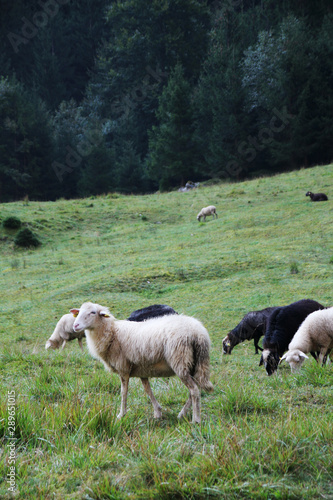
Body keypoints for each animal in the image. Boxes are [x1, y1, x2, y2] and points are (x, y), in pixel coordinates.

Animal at [71, 300, 214, 422]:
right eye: (79, 312)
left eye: (93, 312)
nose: (75, 325)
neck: (112, 333)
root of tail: (198, 334)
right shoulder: (142, 368)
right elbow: (148, 390)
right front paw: (158, 412)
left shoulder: (123, 368)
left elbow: (123, 392)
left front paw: (121, 414)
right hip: (195, 363)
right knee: (196, 389)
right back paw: (182, 414)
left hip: (180, 361)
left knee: (194, 390)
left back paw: (195, 419)